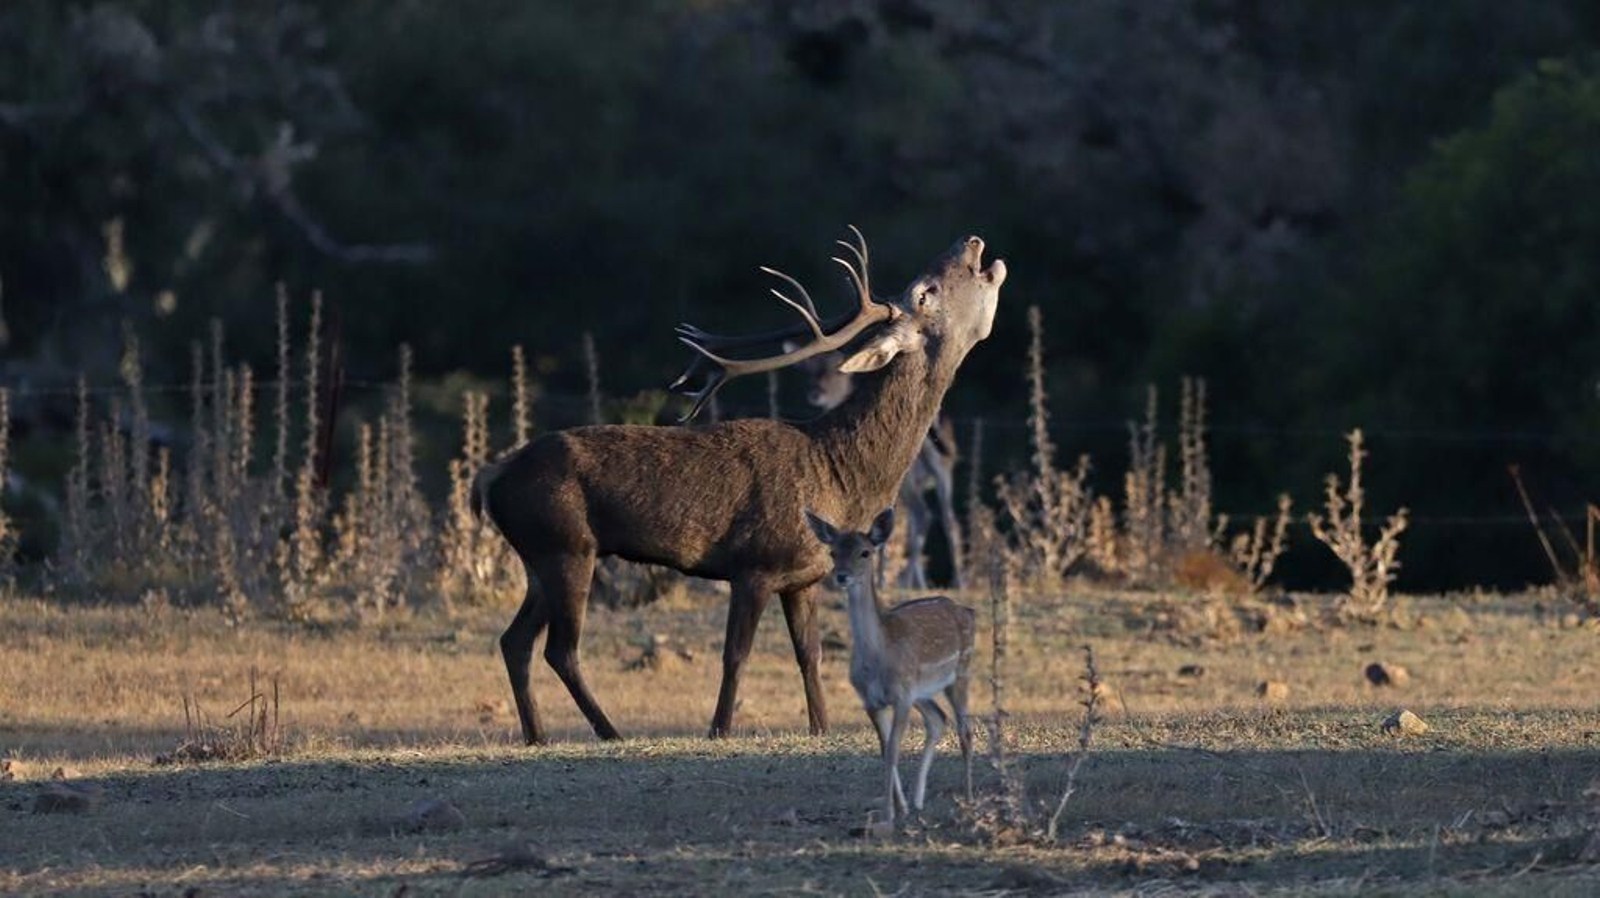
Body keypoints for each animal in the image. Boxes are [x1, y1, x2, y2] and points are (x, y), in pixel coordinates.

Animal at [790, 348, 964, 591]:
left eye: (837, 372)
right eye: (809, 371)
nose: (816, 393)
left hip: (908, 479)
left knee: (921, 512)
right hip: (943, 470)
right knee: (946, 518)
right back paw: (951, 582)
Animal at [805, 506, 975, 826]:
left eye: (865, 552)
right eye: (833, 552)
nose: (841, 576)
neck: (878, 661)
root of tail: (969, 611)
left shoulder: (902, 696)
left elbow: (894, 750)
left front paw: (887, 815)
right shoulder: (871, 700)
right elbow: (884, 750)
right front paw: (898, 808)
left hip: (959, 673)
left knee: (964, 729)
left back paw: (969, 801)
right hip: (923, 691)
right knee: (938, 719)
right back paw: (917, 801)